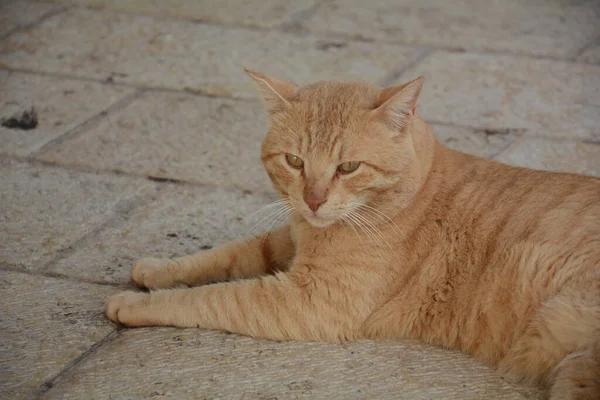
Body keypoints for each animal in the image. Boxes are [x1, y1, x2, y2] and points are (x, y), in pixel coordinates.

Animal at [108, 70, 600, 398]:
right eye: (294, 161)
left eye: (348, 167)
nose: (314, 200)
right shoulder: (288, 241)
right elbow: (225, 255)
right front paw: (157, 269)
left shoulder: (309, 299)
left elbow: (210, 298)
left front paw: (134, 304)